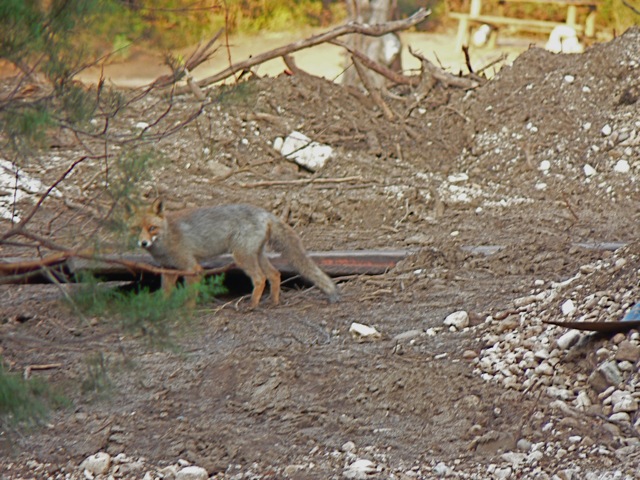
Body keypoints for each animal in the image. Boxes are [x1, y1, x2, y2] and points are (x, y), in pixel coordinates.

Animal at [130, 198, 340, 308]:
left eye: (152, 228)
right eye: (136, 229)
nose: (143, 242)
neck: (166, 238)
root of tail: (264, 213)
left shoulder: (192, 267)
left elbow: (189, 295)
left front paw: (187, 312)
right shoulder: (168, 269)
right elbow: (165, 293)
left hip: (241, 257)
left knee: (260, 278)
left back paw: (252, 306)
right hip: (257, 255)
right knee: (274, 274)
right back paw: (274, 301)